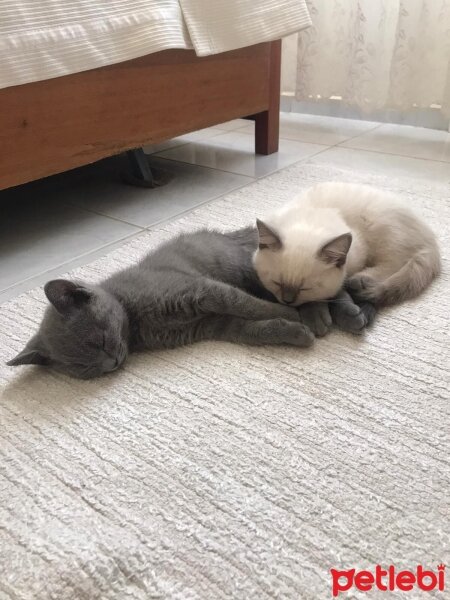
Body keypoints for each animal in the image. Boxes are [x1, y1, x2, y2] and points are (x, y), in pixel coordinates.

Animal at [7, 227, 370, 378]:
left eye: (101, 340)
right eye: (82, 369)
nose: (111, 364)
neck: (136, 322)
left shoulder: (204, 290)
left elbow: (249, 304)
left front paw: (291, 315)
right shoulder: (214, 324)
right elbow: (253, 329)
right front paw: (293, 331)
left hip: (256, 270)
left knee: (328, 283)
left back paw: (327, 314)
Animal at [253, 182, 440, 304]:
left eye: (305, 289)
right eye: (276, 283)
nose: (287, 301)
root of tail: (431, 238)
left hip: (382, 231)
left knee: (395, 263)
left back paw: (361, 280)